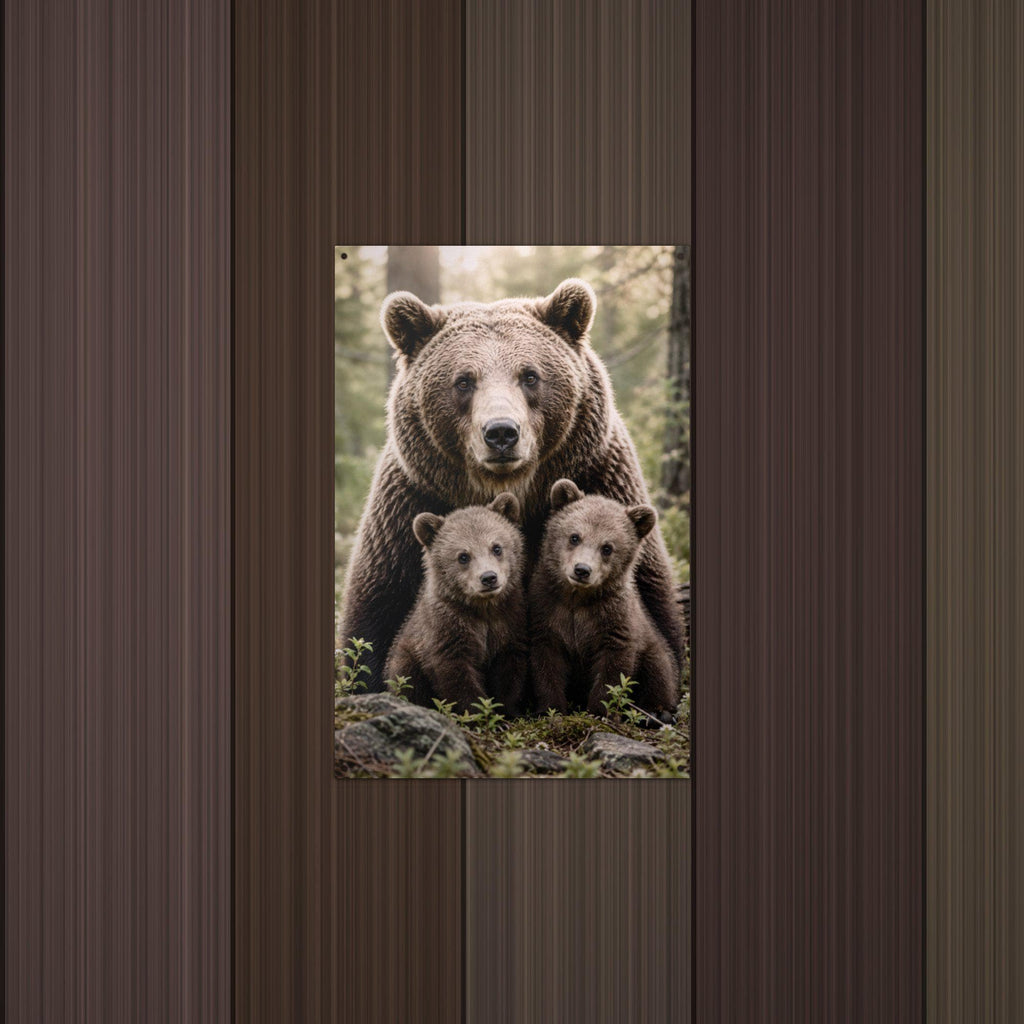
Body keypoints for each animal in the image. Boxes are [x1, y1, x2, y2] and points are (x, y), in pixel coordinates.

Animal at [338, 277, 684, 692]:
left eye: (530, 375)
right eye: (464, 380)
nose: (501, 432)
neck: (513, 488)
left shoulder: (601, 476)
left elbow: (652, 604)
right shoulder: (411, 503)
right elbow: (374, 615)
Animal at [384, 493, 529, 715]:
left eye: (496, 547)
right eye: (463, 556)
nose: (489, 577)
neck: (483, 609)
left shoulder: (509, 622)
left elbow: (509, 670)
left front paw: (507, 710)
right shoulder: (447, 628)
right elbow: (456, 674)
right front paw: (477, 711)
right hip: (405, 657)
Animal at [529, 480, 678, 723]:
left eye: (607, 547)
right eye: (574, 536)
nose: (582, 570)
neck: (577, 599)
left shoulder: (614, 620)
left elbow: (613, 669)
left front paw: (600, 711)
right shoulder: (547, 611)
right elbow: (546, 663)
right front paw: (550, 709)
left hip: (652, 644)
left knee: (659, 670)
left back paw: (658, 712)